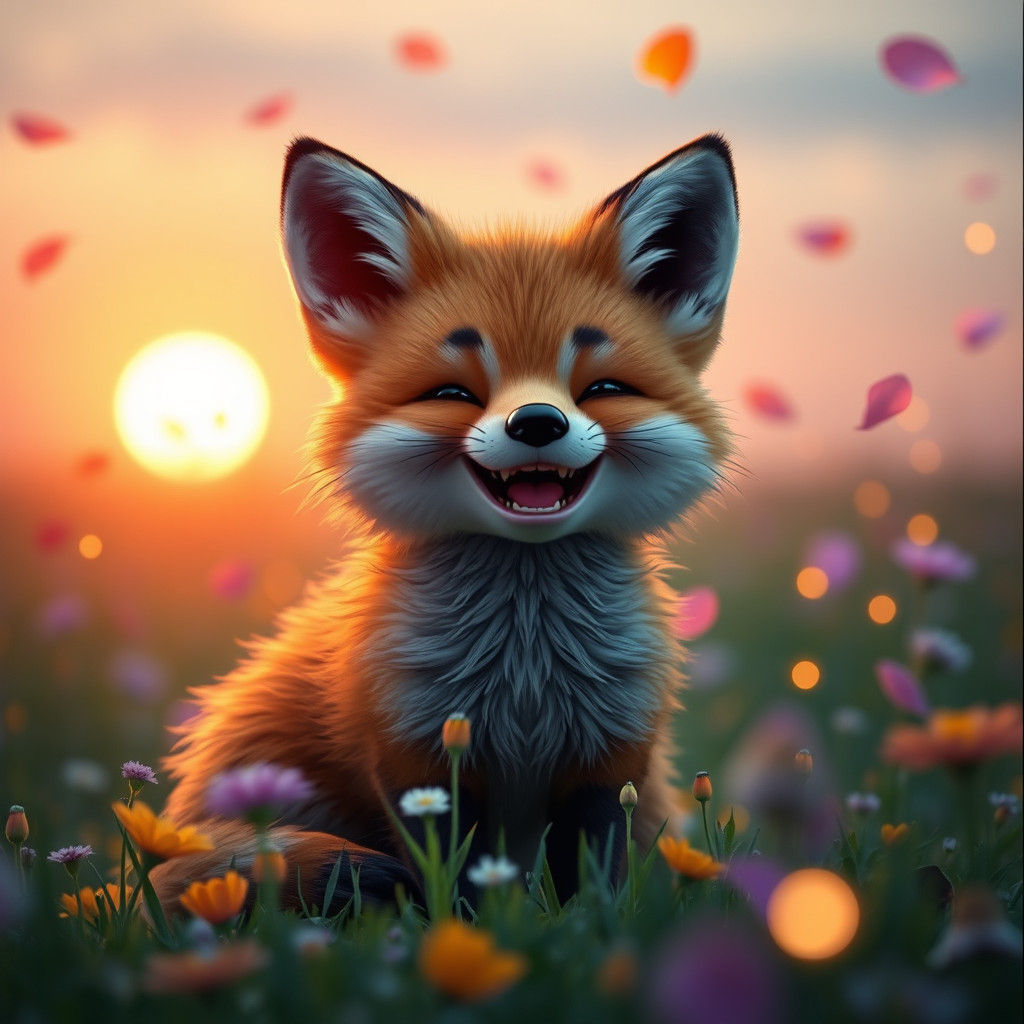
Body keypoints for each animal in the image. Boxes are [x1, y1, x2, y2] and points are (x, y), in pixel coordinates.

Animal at [150, 132, 739, 912]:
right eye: (452, 394)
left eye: (603, 389)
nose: (538, 422)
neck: (527, 678)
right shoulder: (416, 758)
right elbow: (453, 887)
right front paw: (466, 927)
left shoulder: (610, 760)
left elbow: (588, 893)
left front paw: (582, 927)